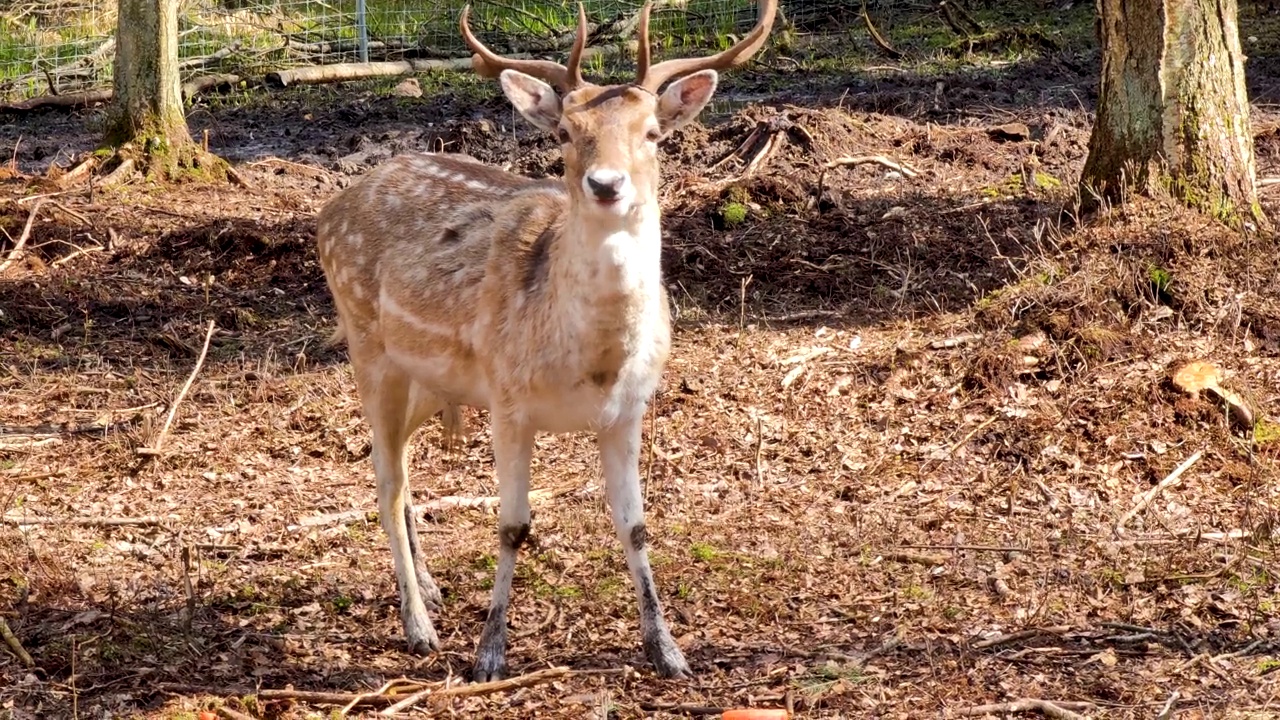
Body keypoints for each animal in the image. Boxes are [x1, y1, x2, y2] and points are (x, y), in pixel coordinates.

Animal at [314, 0, 773, 676]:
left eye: (652, 134)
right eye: (564, 133)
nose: (606, 185)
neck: (593, 363)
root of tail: (330, 209)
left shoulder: (629, 409)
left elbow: (635, 526)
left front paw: (667, 651)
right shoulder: (508, 401)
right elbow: (512, 527)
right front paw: (489, 655)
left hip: (430, 379)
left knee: (398, 463)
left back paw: (430, 587)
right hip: (366, 345)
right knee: (385, 478)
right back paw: (419, 625)